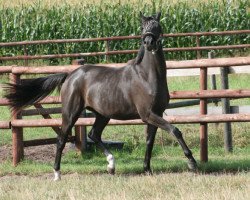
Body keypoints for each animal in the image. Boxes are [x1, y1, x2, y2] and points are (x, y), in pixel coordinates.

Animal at [4, 12, 196, 180]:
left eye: (157, 26)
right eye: (142, 27)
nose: (148, 42)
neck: (147, 76)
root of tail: (70, 75)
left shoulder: (154, 115)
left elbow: (150, 141)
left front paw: (147, 170)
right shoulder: (148, 114)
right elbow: (175, 130)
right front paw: (192, 163)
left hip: (102, 114)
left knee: (94, 134)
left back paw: (111, 165)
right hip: (71, 113)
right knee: (62, 139)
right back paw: (57, 174)